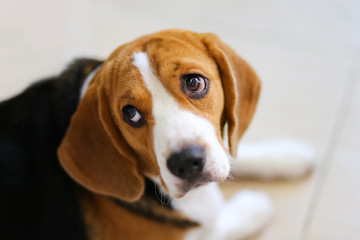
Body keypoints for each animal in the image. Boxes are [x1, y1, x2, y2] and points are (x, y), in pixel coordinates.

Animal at [0, 29, 314, 239]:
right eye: (130, 113)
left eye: (195, 82)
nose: (187, 162)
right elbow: (215, 225)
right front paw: (253, 206)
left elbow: (232, 153)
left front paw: (287, 155)